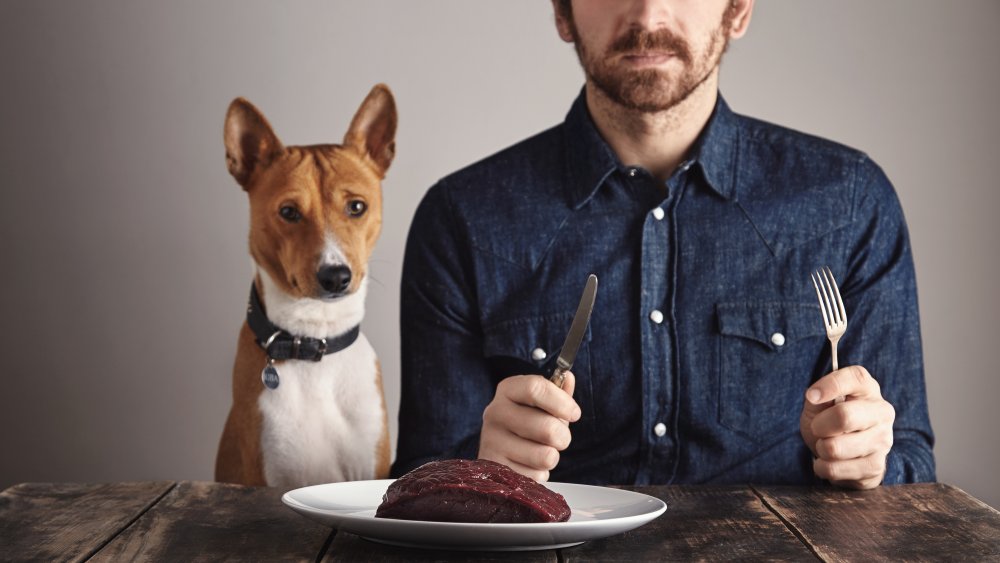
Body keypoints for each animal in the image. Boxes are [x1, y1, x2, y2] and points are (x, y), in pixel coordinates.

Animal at [215, 83, 394, 490]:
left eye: (356, 207)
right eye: (288, 212)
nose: (336, 276)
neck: (316, 339)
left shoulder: (367, 470)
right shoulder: (273, 472)